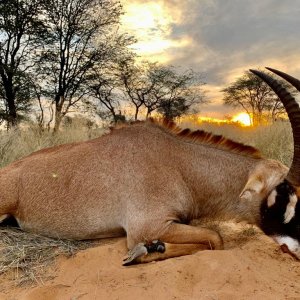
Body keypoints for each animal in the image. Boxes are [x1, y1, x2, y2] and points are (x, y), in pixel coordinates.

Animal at [0, 68, 298, 264]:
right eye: (282, 197)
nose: (297, 250)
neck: (179, 164)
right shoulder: (147, 227)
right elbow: (215, 238)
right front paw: (146, 251)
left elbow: (213, 238)